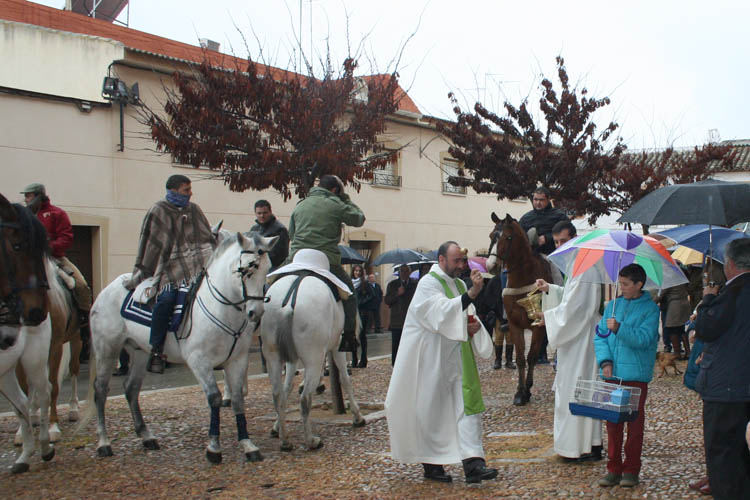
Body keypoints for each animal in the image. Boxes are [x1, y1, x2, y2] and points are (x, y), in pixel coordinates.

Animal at [86, 232, 280, 462]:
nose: (256, 313)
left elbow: (238, 400)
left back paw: (146, 436)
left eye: (267, 268)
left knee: (131, 389)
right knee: (100, 390)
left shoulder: (236, 360)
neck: (221, 309)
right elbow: (214, 398)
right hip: (107, 348)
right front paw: (214, 447)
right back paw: (104, 443)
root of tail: (109, 288)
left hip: (140, 352)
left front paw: (248, 445)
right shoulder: (199, 361)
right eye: (247, 269)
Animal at [262, 252, 368, 452]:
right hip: (314, 357)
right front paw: (357, 417)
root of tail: (289, 302)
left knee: (277, 394)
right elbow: (345, 379)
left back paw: (285, 440)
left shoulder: (291, 360)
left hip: (273, 356)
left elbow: (287, 388)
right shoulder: (337, 347)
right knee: (305, 400)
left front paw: (277, 427)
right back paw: (311, 440)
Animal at [488, 212, 560, 406]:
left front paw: (527, 390)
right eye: (491, 236)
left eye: (508, 237)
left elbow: (531, 357)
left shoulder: (538, 326)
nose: (491, 266)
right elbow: (520, 359)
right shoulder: (515, 325)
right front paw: (519, 392)